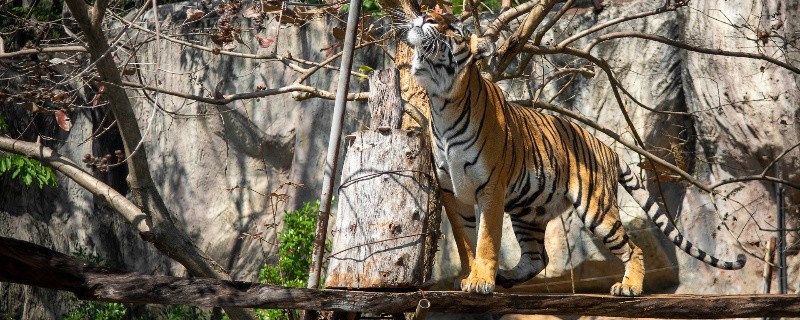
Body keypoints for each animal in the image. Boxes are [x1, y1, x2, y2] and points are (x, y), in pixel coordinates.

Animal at [396, 9, 748, 296]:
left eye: (454, 28)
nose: (424, 16)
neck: (442, 101)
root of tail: (608, 149)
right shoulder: (451, 191)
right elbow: (466, 240)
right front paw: (471, 276)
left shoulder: (490, 187)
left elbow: (485, 239)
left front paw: (481, 281)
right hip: (528, 210)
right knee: (538, 257)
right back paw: (508, 277)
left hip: (596, 209)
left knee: (632, 248)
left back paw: (629, 287)